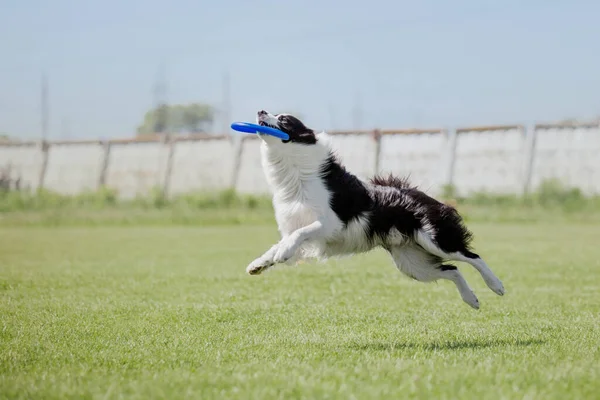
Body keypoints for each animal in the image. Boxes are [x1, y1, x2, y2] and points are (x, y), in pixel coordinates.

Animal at [246, 109, 504, 310]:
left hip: (434, 239)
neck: (297, 174)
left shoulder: (331, 223)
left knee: (471, 256)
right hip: (411, 262)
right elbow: (281, 243)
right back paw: (472, 299)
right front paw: (259, 263)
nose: (260, 110)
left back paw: (496, 285)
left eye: (284, 119)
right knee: (452, 269)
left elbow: (300, 234)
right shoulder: (297, 224)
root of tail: (415, 192)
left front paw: (283, 253)